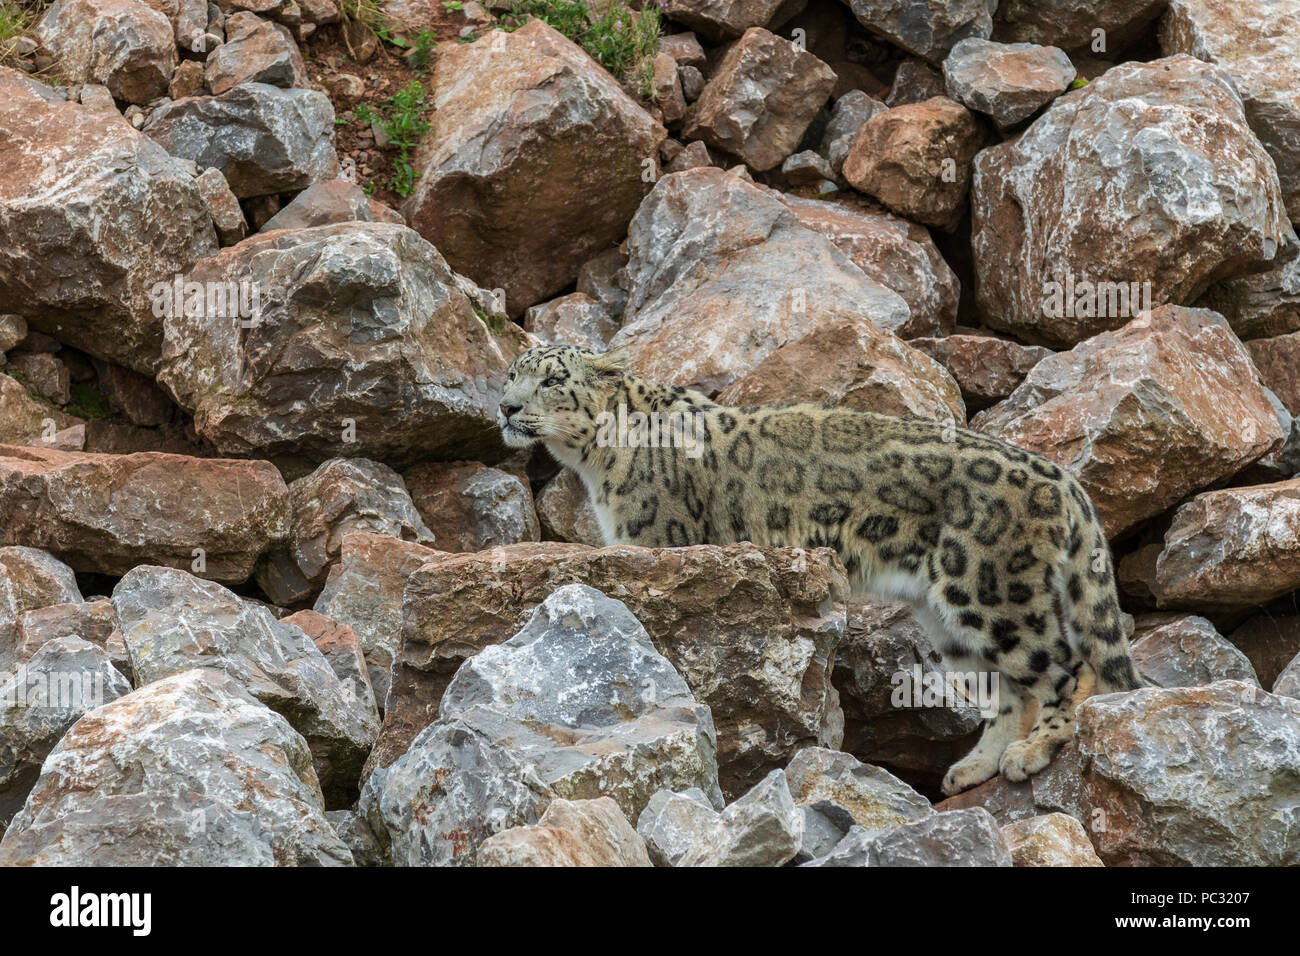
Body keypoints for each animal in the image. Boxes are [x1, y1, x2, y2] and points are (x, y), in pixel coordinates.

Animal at [498, 345, 1142, 795]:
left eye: (552, 380)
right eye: (511, 374)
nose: (505, 406)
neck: (596, 466)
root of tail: (1061, 476)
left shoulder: (659, 544)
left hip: (989, 590)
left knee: (1066, 667)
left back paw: (1031, 753)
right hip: (949, 619)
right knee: (1007, 689)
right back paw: (973, 766)